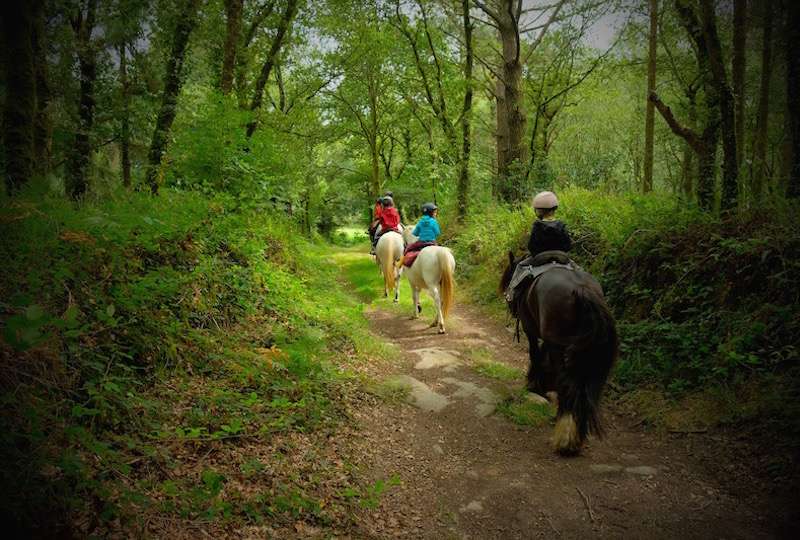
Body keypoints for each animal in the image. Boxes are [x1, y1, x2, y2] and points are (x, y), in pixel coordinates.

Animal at [500, 251, 620, 454]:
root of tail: (581, 290)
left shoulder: (531, 330)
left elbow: (535, 355)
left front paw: (535, 385)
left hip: (558, 344)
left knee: (567, 383)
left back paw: (565, 438)